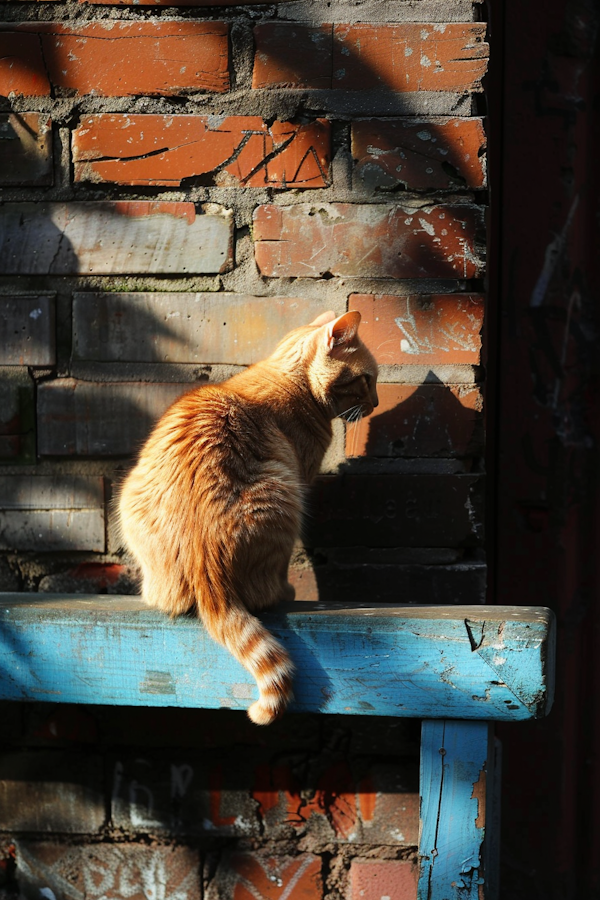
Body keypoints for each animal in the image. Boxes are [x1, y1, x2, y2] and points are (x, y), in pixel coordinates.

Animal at [119, 310, 378, 724]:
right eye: (367, 379)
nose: (377, 402)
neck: (289, 379)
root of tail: (205, 568)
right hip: (284, 497)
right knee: (267, 589)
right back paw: (283, 593)